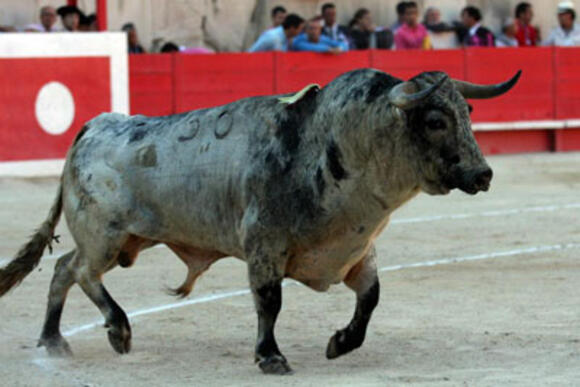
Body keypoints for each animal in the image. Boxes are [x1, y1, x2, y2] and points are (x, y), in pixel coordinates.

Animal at [0, 68, 516, 374]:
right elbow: (269, 301)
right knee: (82, 272)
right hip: (105, 236)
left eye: (468, 113)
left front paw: (340, 342)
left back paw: (53, 341)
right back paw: (118, 330)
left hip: (125, 239)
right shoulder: (263, 245)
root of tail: (95, 125)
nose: (483, 174)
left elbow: (370, 299)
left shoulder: (355, 250)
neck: (335, 144)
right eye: (435, 120)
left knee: (63, 269)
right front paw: (270, 356)